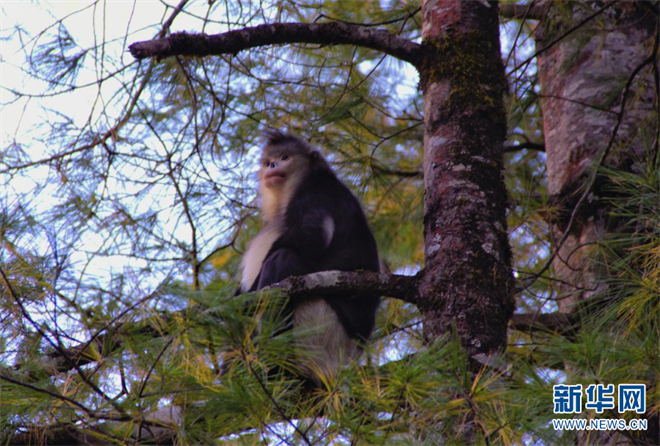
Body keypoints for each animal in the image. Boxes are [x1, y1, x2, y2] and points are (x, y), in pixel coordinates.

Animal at [240, 131, 378, 386]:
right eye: (268, 161)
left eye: (284, 157)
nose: (272, 166)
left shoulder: (315, 194)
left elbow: (309, 241)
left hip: (322, 328)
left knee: (284, 258)